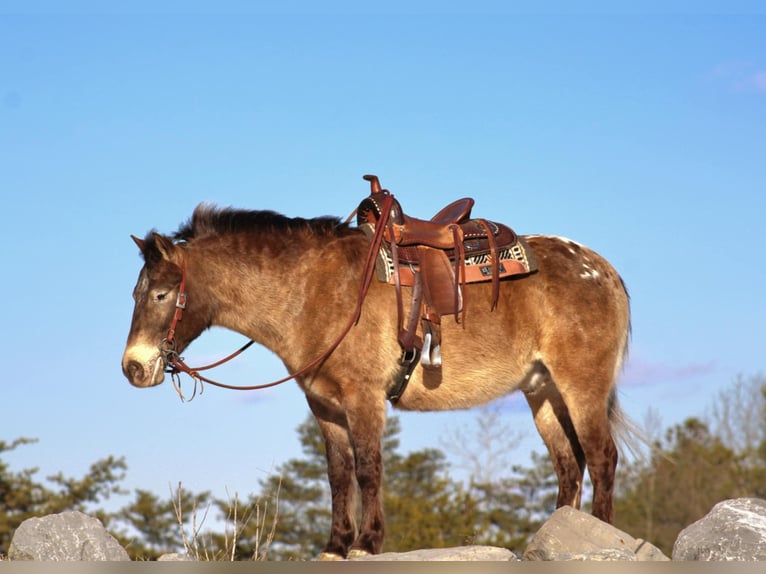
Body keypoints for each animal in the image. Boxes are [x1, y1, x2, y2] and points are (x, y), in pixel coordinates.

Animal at [123, 196, 632, 560]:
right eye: (136, 293)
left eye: (162, 293)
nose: (133, 367)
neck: (313, 292)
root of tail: (604, 270)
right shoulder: (324, 404)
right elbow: (338, 472)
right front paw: (335, 545)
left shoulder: (362, 397)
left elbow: (368, 468)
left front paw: (366, 542)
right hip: (543, 392)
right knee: (570, 465)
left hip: (580, 387)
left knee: (601, 457)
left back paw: (604, 532)